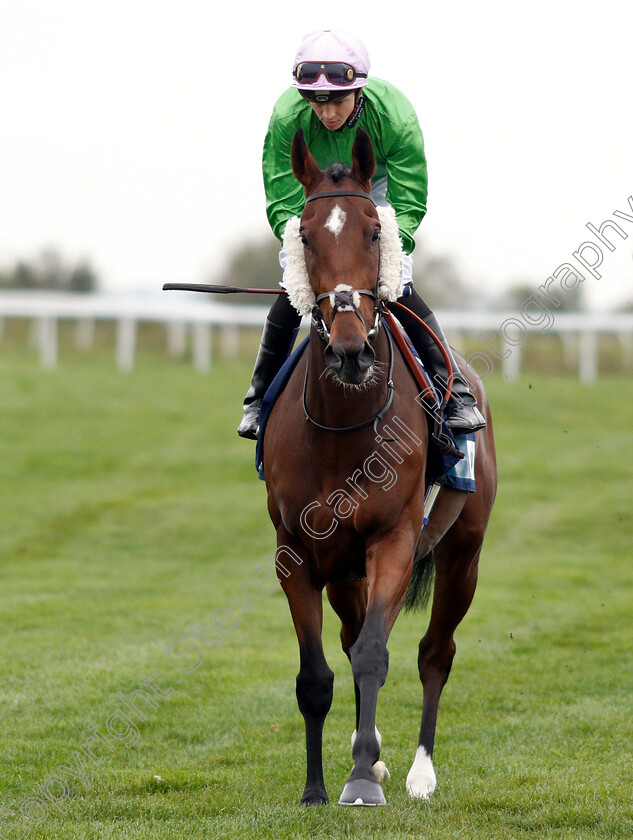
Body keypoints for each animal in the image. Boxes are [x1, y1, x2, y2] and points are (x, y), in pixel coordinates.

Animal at [262, 128, 498, 804]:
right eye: (305, 234)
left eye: (373, 231)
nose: (349, 351)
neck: (343, 430)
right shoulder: (296, 550)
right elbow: (318, 673)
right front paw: (319, 786)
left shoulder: (393, 537)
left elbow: (376, 654)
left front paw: (363, 779)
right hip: (344, 571)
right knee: (353, 638)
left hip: (463, 553)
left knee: (433, 652)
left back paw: (419, 770)